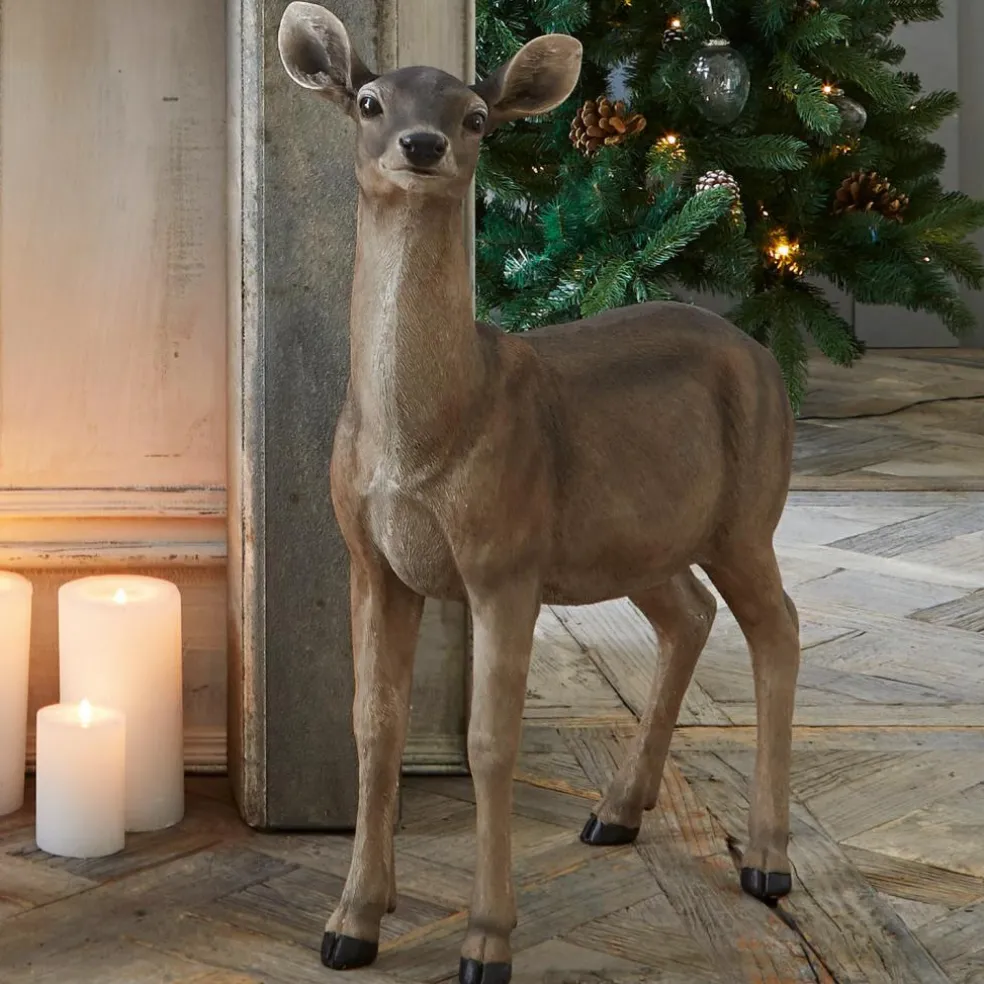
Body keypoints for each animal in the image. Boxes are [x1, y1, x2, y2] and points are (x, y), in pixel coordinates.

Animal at [277, 4, 802, 982]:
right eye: (368, 100)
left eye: (478, 115)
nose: (422, 143)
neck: (427, 438)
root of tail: (761, 352)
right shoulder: (372, 558)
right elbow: (374, 727)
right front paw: (353, 921)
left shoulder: (504, 560)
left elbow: (490, 744)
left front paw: (487, 941)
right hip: (639, 540)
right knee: (690, 615)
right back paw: (615, 813)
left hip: (749, 515)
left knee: (778, 631)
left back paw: (767, 861)